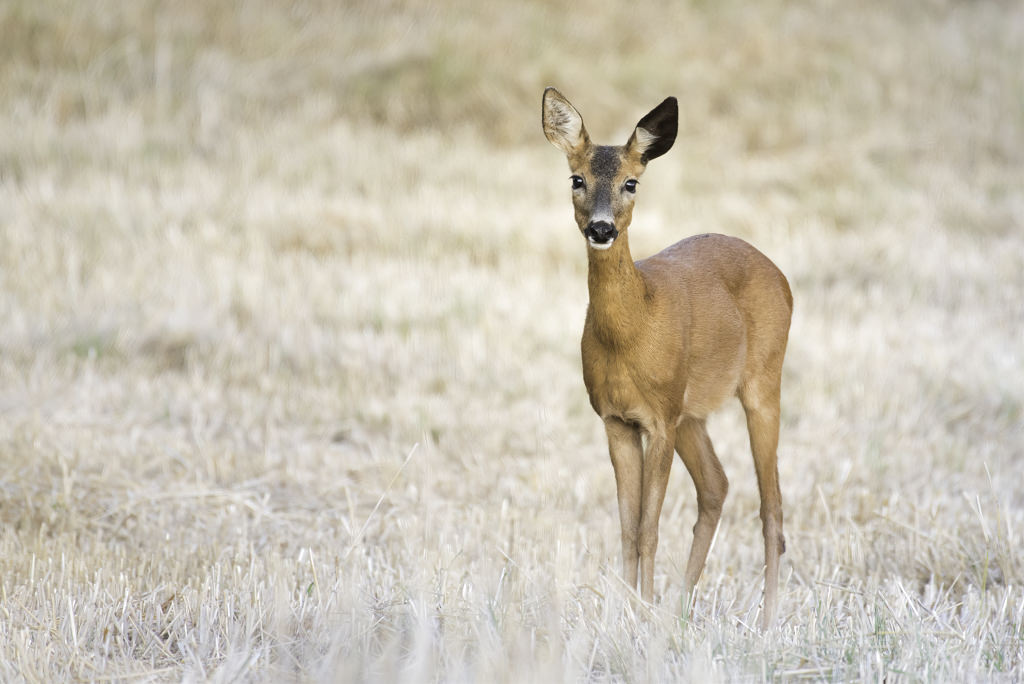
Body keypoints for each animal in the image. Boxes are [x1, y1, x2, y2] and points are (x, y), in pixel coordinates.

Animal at [540, 88, 794, 634]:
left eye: (631, 182)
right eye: (577, 179)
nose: (601, 228)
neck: (634, 330)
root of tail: (781, 275)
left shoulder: (658, 418)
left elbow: (649, 527)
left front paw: (640, 613)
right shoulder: (618, 418)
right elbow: (627, 527)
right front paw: (627, 614)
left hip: (763, 380)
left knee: (772, 505)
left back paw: (766, 623)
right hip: (692, 411)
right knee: (717, 485)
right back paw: (679, 608)